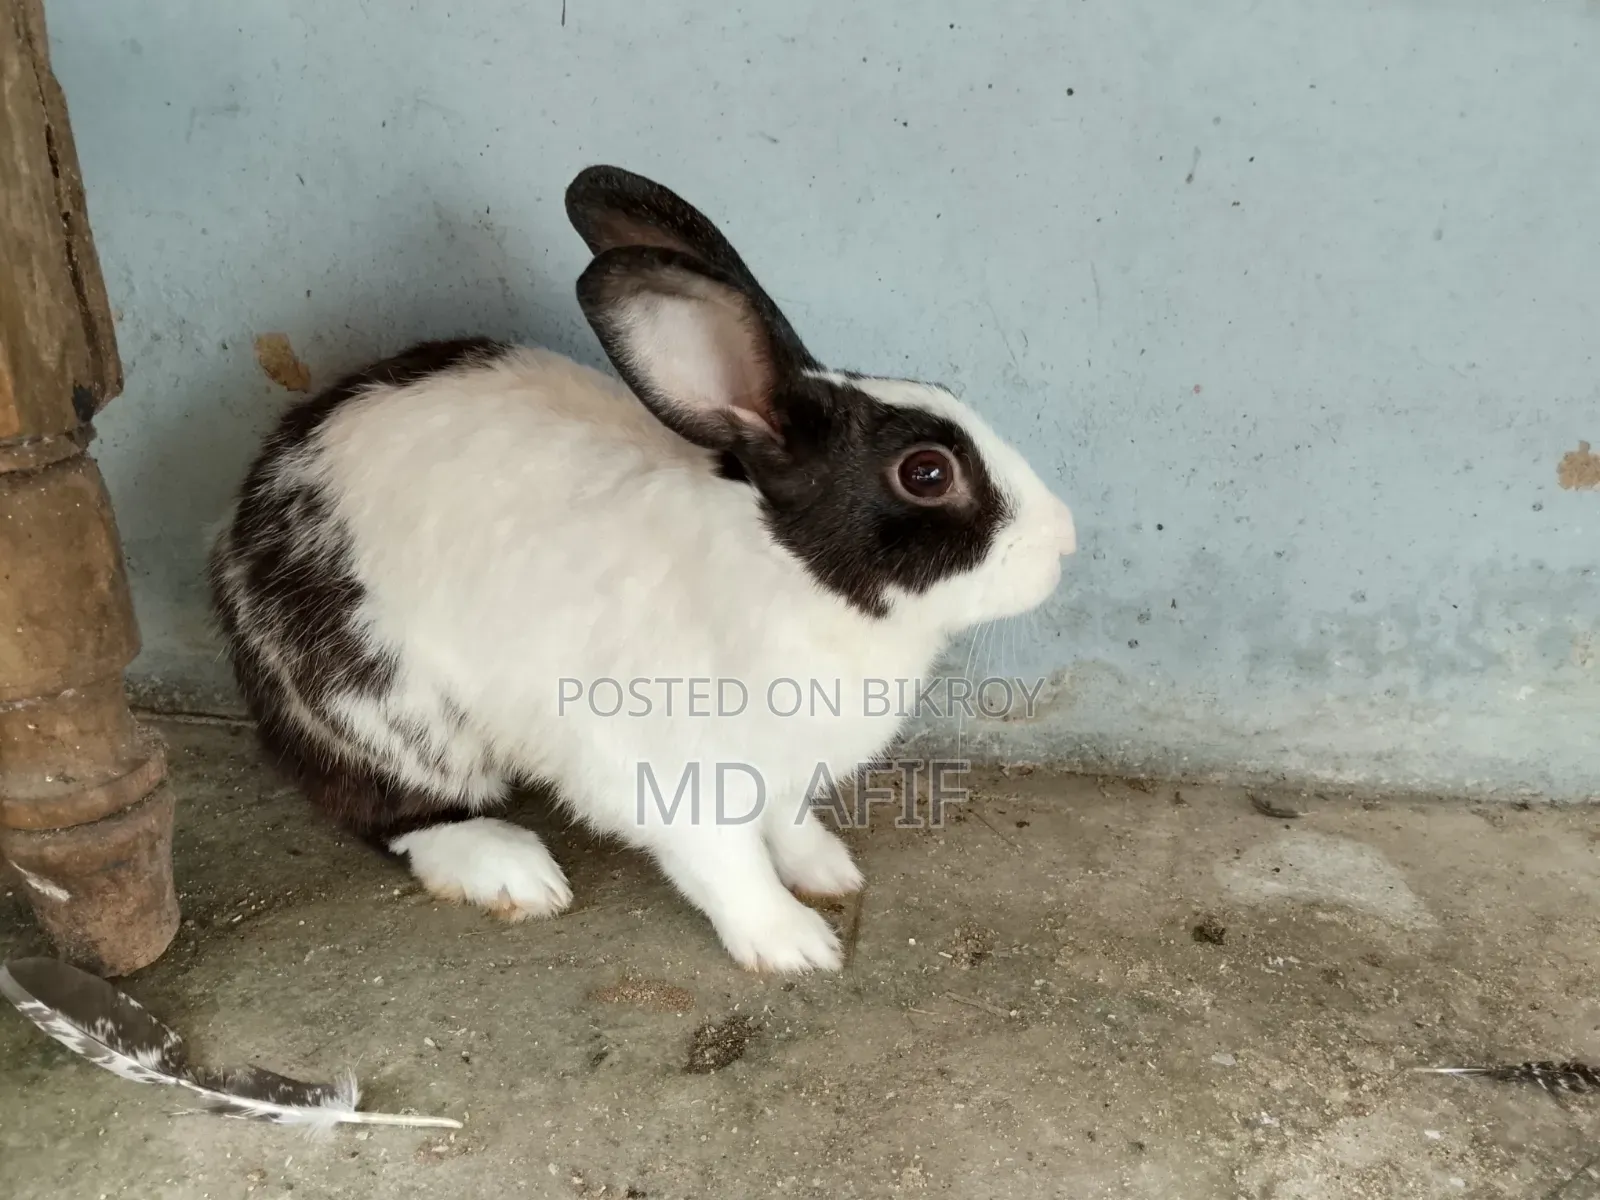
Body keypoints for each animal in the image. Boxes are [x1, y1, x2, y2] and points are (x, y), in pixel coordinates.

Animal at [209, 165, 1077, 973]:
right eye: (927, 473)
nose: (1065, 539)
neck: (789, 577)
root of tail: (239, 532)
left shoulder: (783, 773)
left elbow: (789, 827)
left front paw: (830, 872)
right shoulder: (672, 773)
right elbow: (729, 867)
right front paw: (795, 946)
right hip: (388, 715)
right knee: (386, 811)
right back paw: (509, 870)